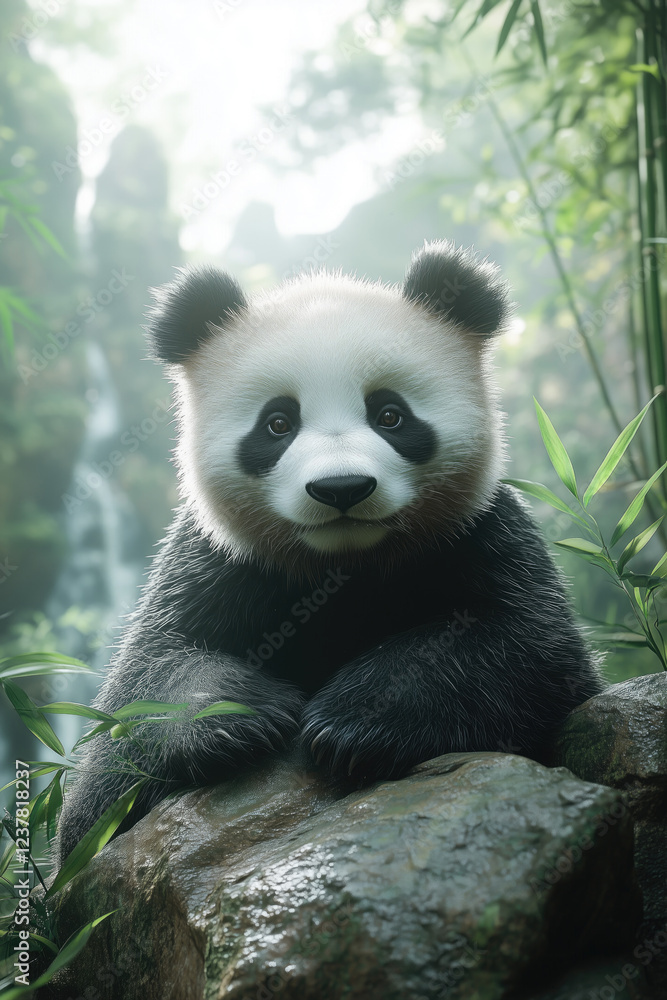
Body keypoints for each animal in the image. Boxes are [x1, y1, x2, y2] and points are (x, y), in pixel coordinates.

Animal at [57, 240, 603, 861]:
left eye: (390, 415)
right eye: (277, 423)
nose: (341, 488)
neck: (342, 565)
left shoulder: (477, 533)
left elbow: (529, 648)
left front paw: (350, 723)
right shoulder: (219, 561)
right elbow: (145, 685)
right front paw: (240, 717)